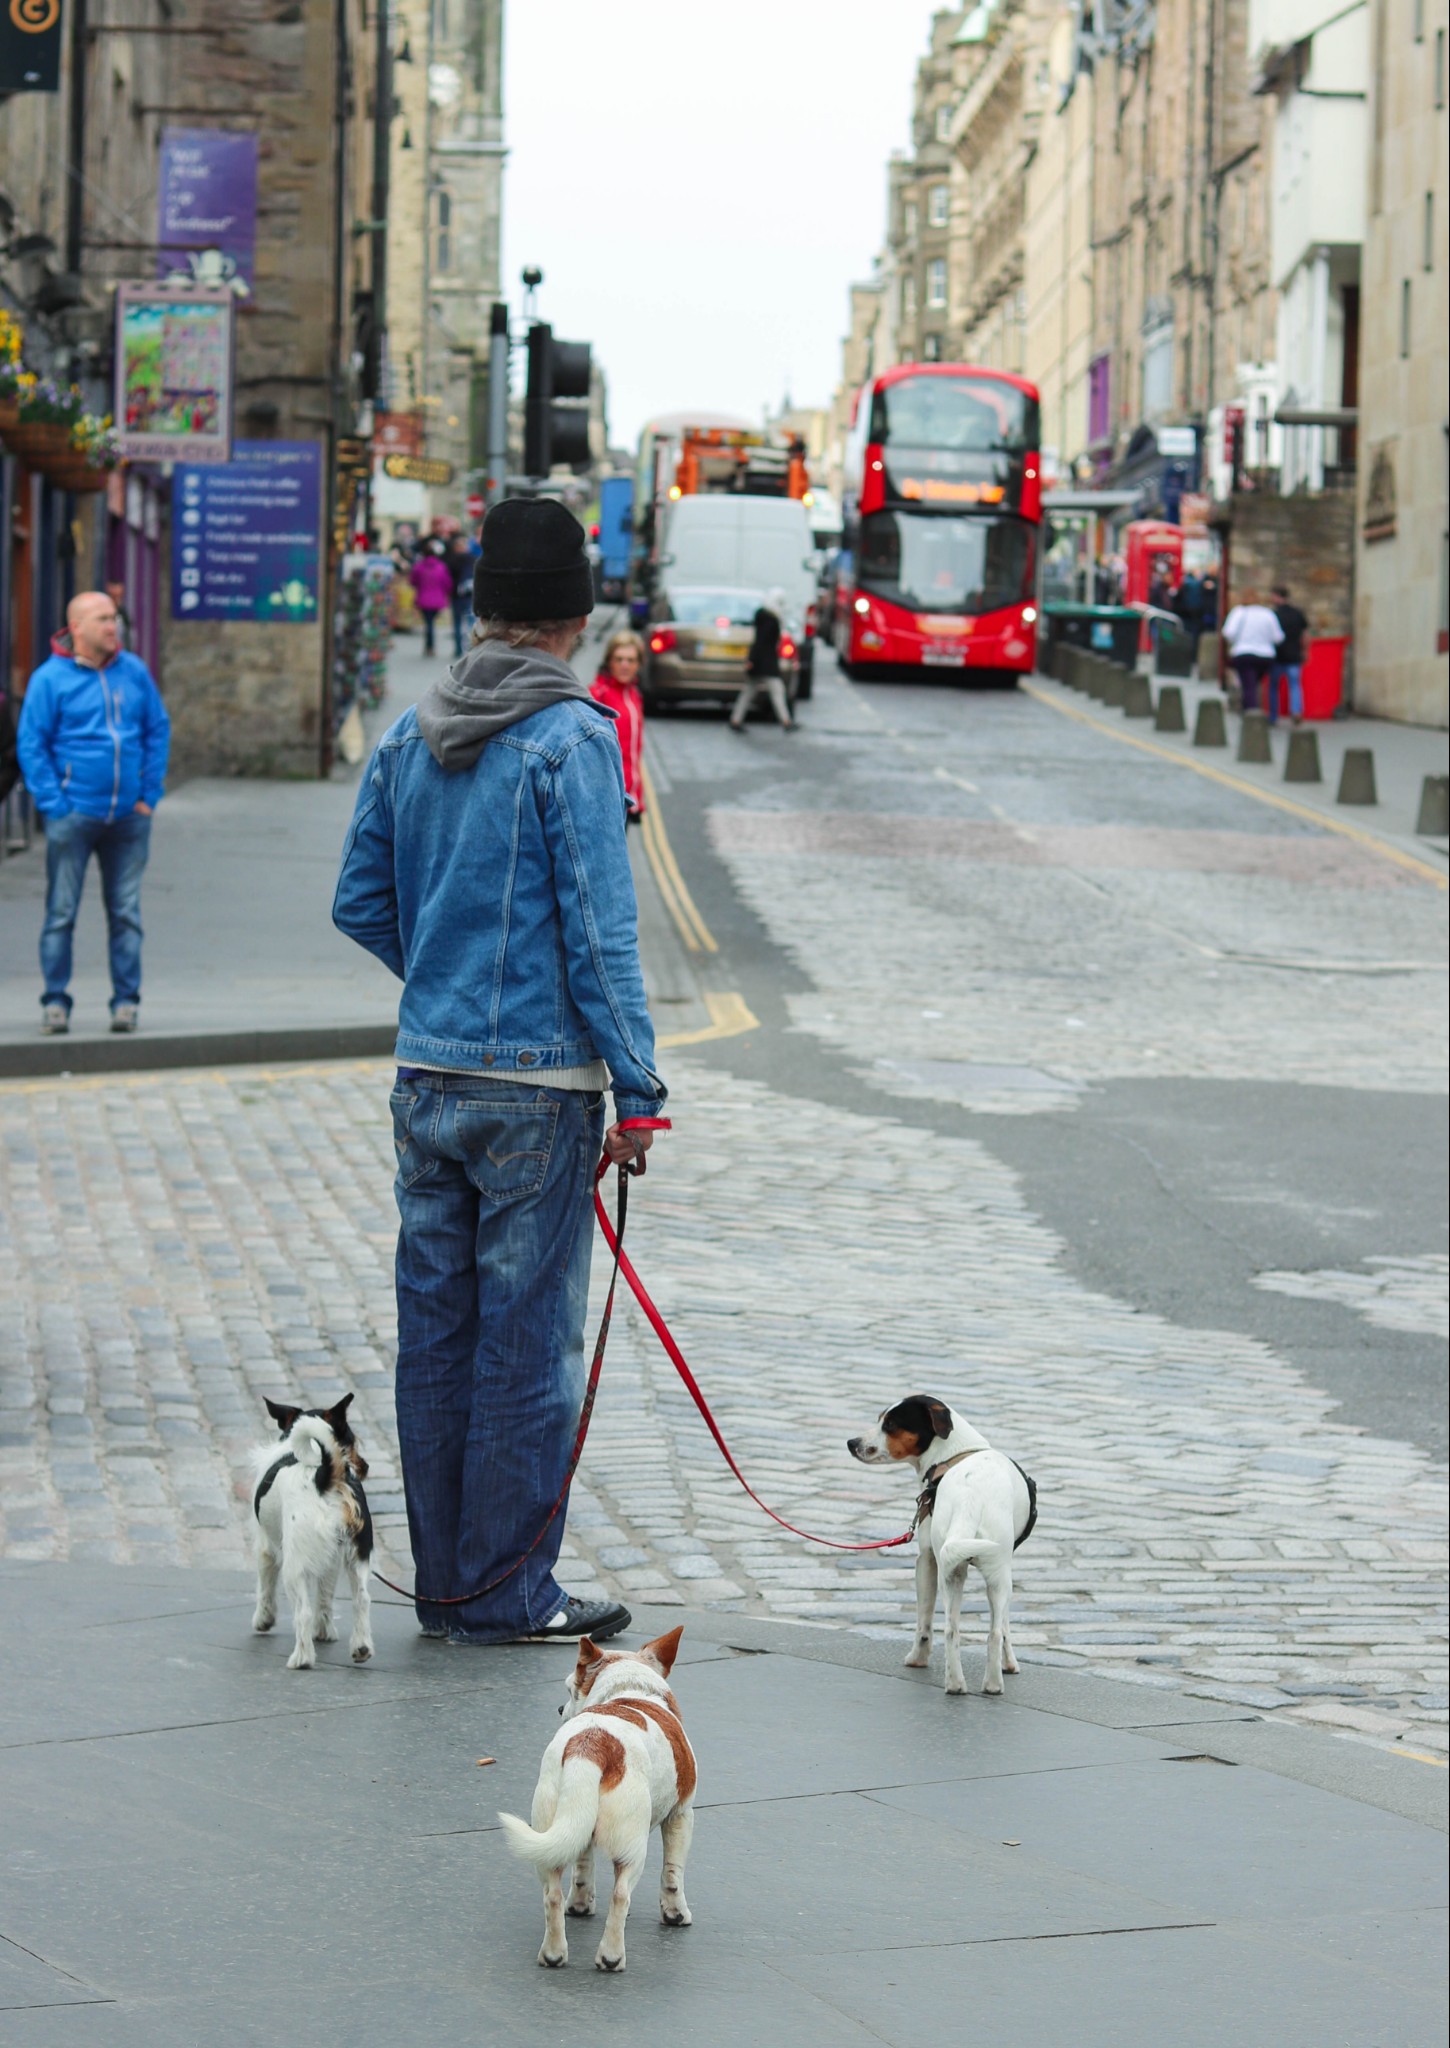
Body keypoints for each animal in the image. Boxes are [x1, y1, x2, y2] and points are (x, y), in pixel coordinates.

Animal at [497, 1622, 696, 1974]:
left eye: (568, 1690)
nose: (559, 1709)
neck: (628, 1688)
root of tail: (591, 1743)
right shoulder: (682, 1815)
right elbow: (673, 1873)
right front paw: (675, 1914)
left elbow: (582, 1870)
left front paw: (579, 1905)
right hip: (632, 1848)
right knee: (620, 1895)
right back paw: (611, 1956)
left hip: (552, 1832)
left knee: (552, 1893)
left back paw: (553, 1953)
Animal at [843, 1392, 1036, 1695]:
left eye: (890, 1424)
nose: (852, 1443)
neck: (954, 1454)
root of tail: (970, 1501)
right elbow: (1003, 1627)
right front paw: (1010, 1664)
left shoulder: (926, 1559)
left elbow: (924, 1621)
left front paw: (918, 1659)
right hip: (995, 1575)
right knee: (990, 1632)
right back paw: (991, 1685)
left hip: (952, 1570)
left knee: (950, 1629)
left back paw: (955, 1684)